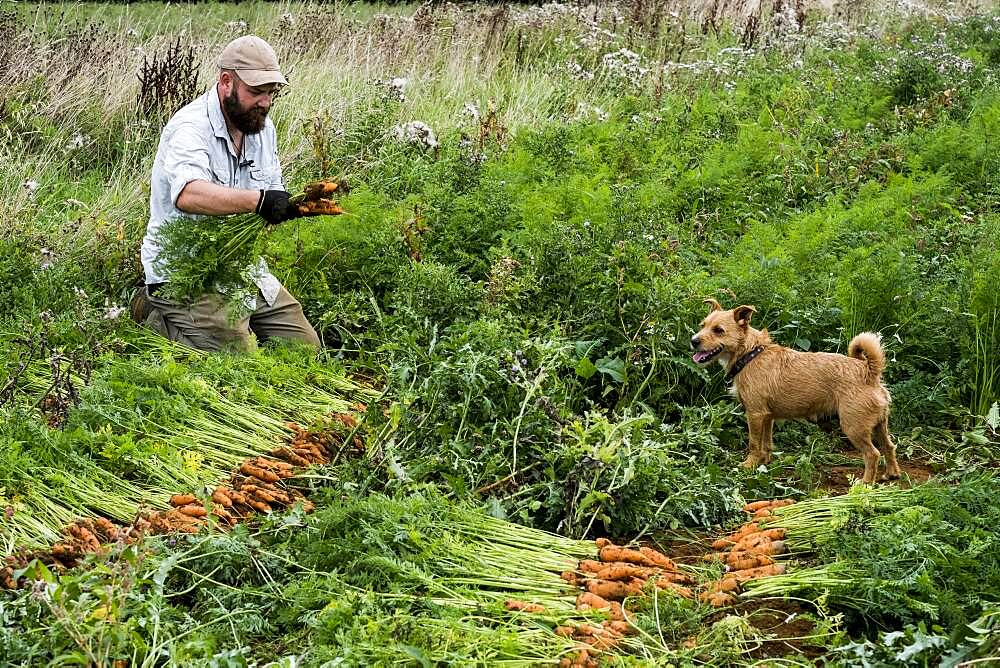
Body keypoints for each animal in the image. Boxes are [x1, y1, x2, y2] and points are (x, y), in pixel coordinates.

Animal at [692, 300, 904, 482]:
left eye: (719, 330)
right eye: (702, 325)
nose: (693, 341)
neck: (750, 354)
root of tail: (869, 371)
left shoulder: (755, 414)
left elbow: (753, 443)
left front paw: (749, 465)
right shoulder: (767, 416)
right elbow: (766, 444)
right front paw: (764, 463)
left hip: (854, 427)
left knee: (872, 454)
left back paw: (865, 483)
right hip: (880, 425)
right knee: (889, 446)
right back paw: (892, 473)